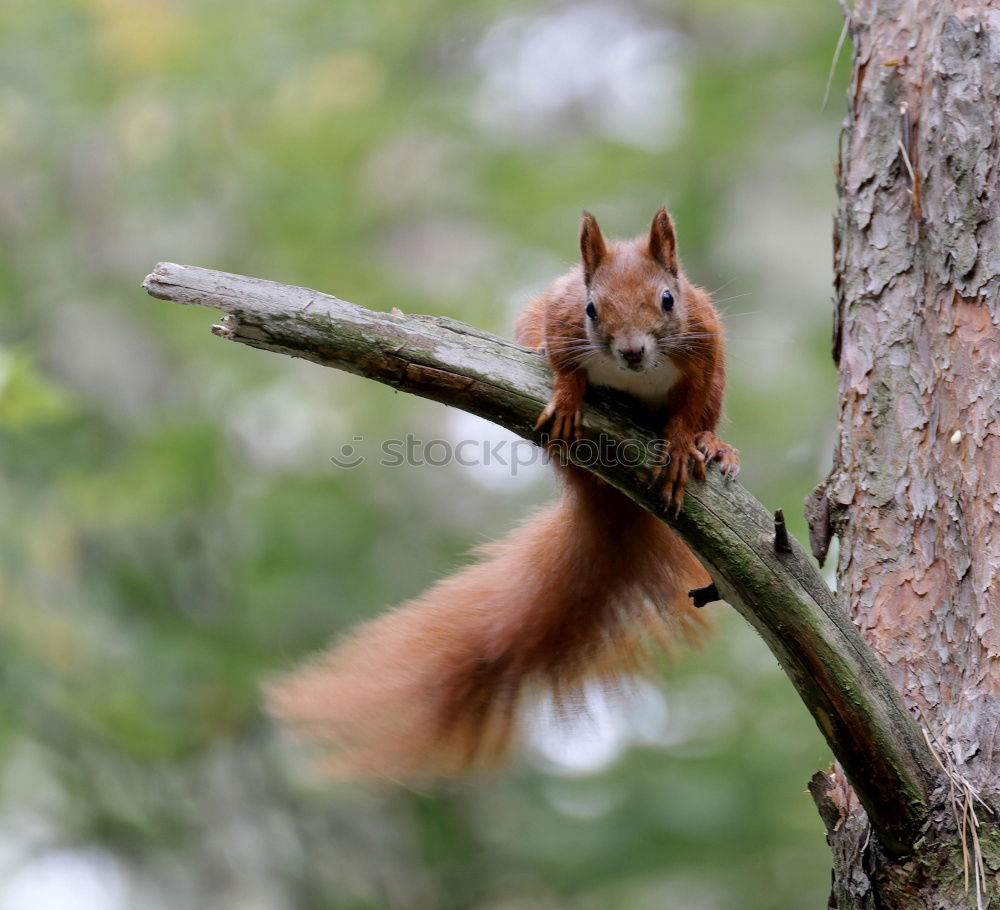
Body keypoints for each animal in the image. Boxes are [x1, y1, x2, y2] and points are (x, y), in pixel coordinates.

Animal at [270, 208, 740, 784]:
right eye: (592, 307)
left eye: (668, 300)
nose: (631, 352)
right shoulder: (560, 317)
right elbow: (561, 363)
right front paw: (567, 397)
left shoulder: (704, 343)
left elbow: (690, 408)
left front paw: (679, 444)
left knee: (707, 416)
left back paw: (715, 447)